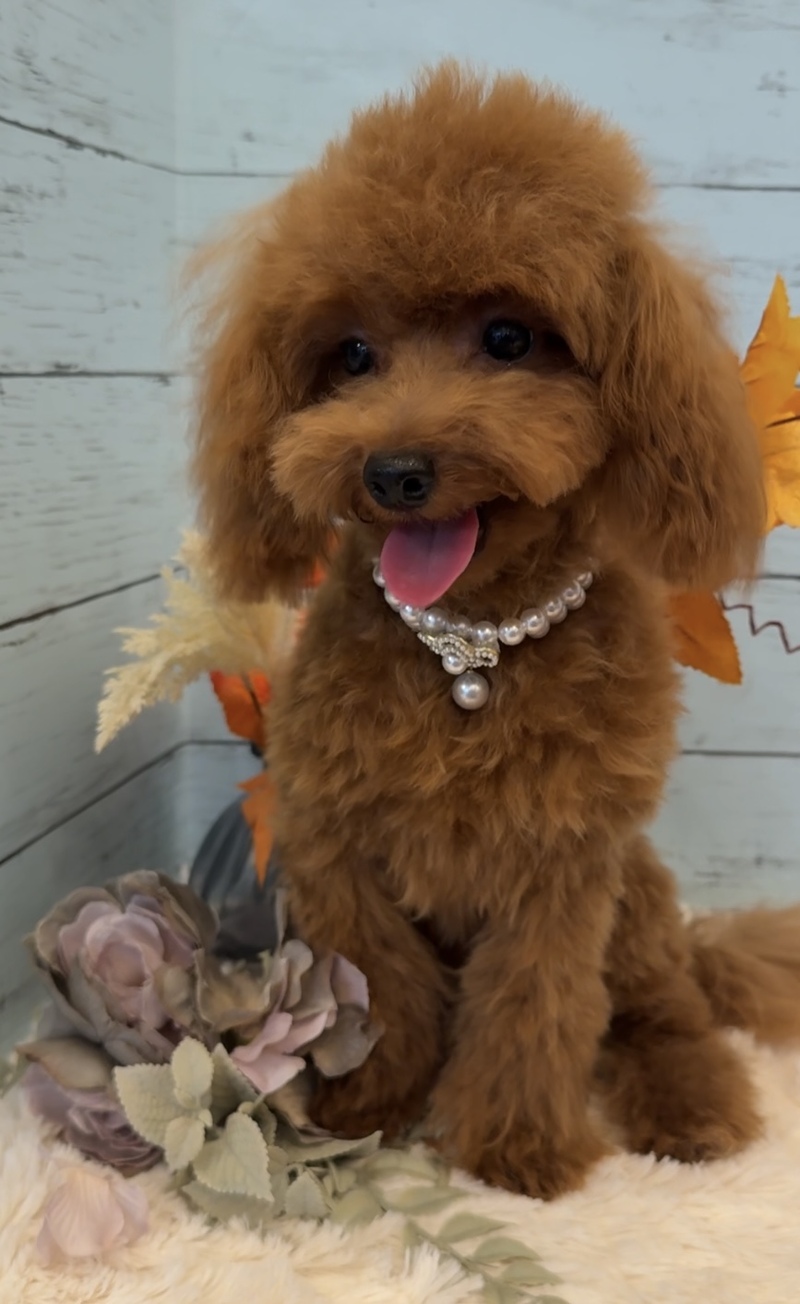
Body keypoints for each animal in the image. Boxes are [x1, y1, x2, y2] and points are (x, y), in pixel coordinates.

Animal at [190, 64, 800, 1199]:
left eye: (510, 338)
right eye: (352, 354)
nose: (393, 471)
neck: (468, 649)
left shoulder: (561, 866)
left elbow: (534, 1005)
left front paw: (517, 1149)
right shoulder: (338, 844)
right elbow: (378, 989)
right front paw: (370, 1107)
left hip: (635, 898)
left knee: (665, 1015)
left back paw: (691, 1110)